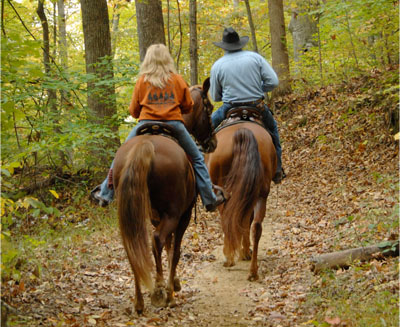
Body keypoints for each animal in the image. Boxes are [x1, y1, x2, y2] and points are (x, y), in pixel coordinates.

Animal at [112, 78, 216, 314]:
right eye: (209, 107)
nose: (212, 142)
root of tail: (146, 146)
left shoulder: (156, 216)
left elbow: (168, 246)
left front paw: (174, 282)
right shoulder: (182, 215)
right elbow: (174, 249)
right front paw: (171, 288)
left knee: (135, 246)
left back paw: (139, 301)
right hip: (173, 213)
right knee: (157, 240)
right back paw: (160, 292)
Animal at [206, 120, 276, 282]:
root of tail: (243, 131)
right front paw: (245, 251)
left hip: (224, 191)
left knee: (227, 219)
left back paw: (229, 258)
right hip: (260, 194)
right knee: (256, 226)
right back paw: (253, 271)